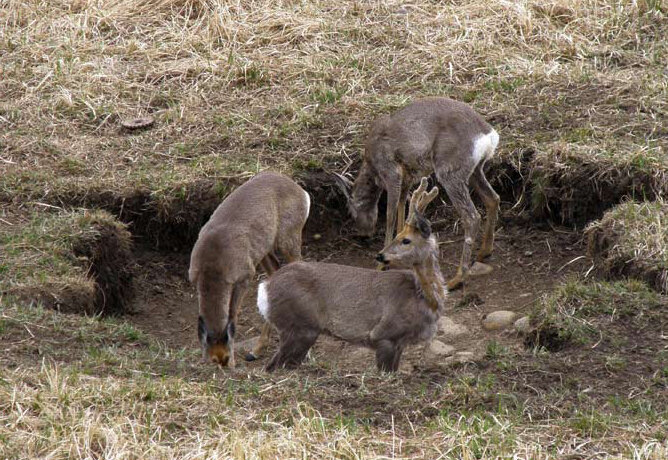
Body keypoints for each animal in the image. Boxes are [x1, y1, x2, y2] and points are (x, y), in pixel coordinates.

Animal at [189, 171, 310, 368]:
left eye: (225, 356)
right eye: (214, 359)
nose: (224, 363)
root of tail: (301, 191)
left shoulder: (244, 278)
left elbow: (233, 315)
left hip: (288, 242)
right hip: (264, 251)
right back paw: (256, 350)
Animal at [258, 178, 446, 372]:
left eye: (406, 240)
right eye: (398, 235)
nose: (380, 255)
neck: (426, 299)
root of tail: (264, 288)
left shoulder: (400, 344)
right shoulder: (384, 334)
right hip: (300, 327)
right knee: (274, 365)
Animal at [340, 97, 500, 292]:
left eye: (351, 212)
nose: (363, 236)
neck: (371, 165)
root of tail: (488, 136)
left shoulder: (391, 171)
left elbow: (390, 214)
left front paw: (380, 263)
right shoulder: (408, 176)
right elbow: (403, 205)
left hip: (449, 172)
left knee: (472, 217)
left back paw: (457, 279)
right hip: (475, 170)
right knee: (492, 198)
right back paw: (484, 251)